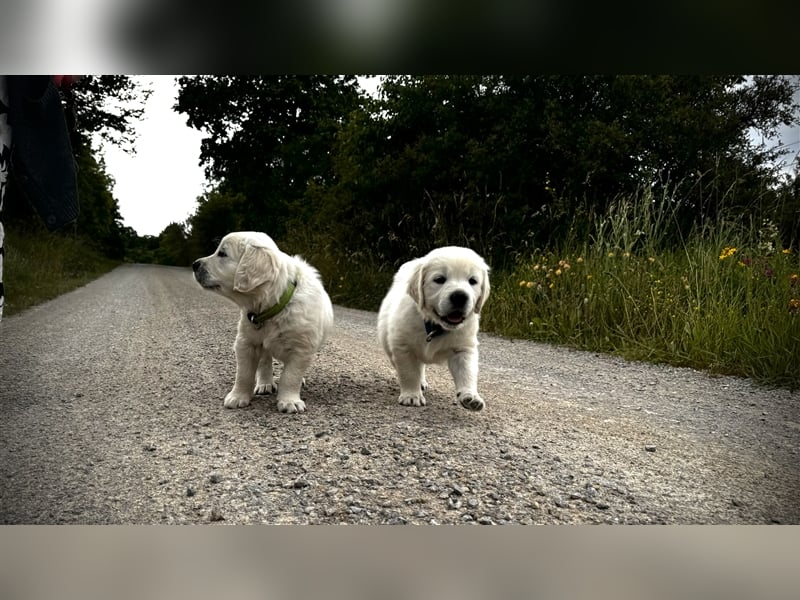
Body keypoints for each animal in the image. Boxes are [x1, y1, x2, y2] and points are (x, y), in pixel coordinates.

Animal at [195, 231, 332, 412]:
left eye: (222, 254)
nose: (194, 264)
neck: (275, 305)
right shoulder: (246, 343)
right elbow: (244, 374)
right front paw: (238, 396)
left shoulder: (302, 349)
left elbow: (291, 376)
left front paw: (289, 401)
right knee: (265, 362)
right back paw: (265, 383)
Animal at [378, 246, 490, 410]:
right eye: (439, 279)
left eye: (472, 281)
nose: (460, 296)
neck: (435, 326)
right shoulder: (403, 347)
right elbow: (409, 372)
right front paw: (412, 395)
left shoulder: (464, 348)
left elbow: (467, 372)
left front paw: (470, 396)